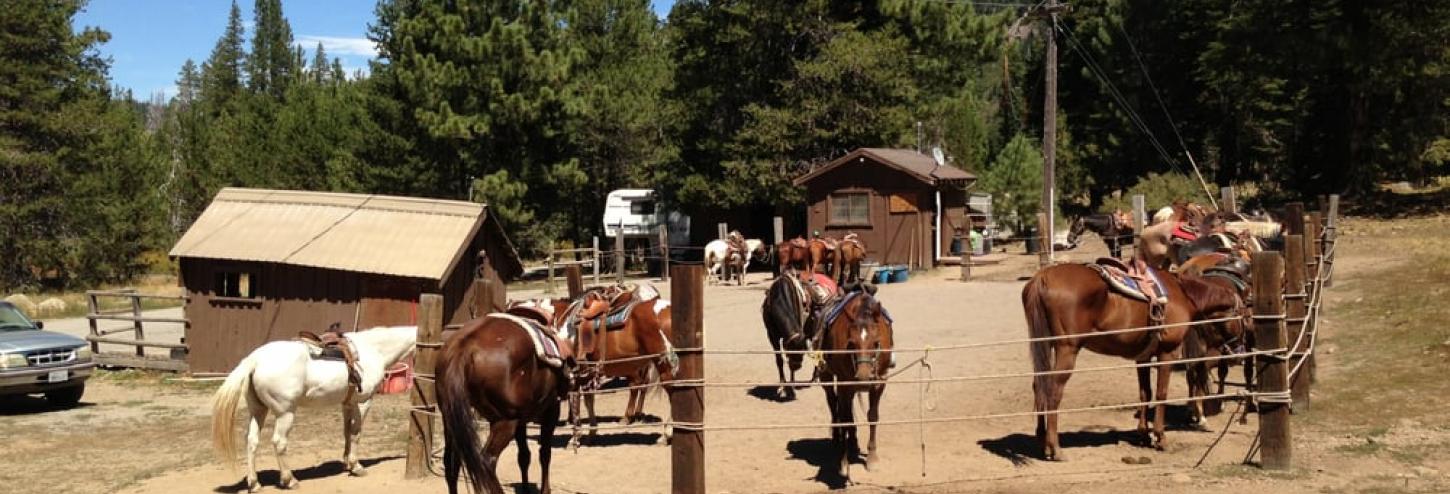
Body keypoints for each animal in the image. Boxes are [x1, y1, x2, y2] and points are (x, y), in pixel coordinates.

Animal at [210, 326, 417, 492]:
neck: (374, 349)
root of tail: (255, 360)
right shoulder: (363, 402)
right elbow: (356, 433)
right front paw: (356, 466)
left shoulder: (347, 403)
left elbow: (346, 432)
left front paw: (346, 462)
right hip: (285, 413)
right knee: (279, 443)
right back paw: (289, 480)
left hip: (258, 411)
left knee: (252, 441)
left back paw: (254, 484)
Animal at [437, 313, 570, 494]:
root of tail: (463, 347)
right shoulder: (551, 410)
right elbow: (545, 453)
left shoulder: (522, 420)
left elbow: (524, 456)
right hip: (504, 422)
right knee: (487, 461)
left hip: (451, 418)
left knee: (451, 463)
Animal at [818, 284, 894, 481]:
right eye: (851, 343)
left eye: (876, 343)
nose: (864, 377)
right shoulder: (845, 383)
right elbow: (845, 419)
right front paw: (843, 463)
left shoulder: (880, 382)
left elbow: (872, 416)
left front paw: (872, 458)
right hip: (827, 376)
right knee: (833, 403)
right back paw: (839, 439)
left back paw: (853, 442)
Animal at [1020, 264, 1244, 460]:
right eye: (1243, 316)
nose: (1239, 351)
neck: (1183, 295)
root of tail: (1042, 277)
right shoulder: (1168, 353)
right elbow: (1161, 393)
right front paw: (1160, 437)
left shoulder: (1142, 357)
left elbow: (1145, 393)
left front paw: (1143, 434)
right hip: (1067, 349)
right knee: (1052, 391)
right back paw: (1055, 448)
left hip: (1046, 345)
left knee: (1038, 386)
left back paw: (1043, 442)